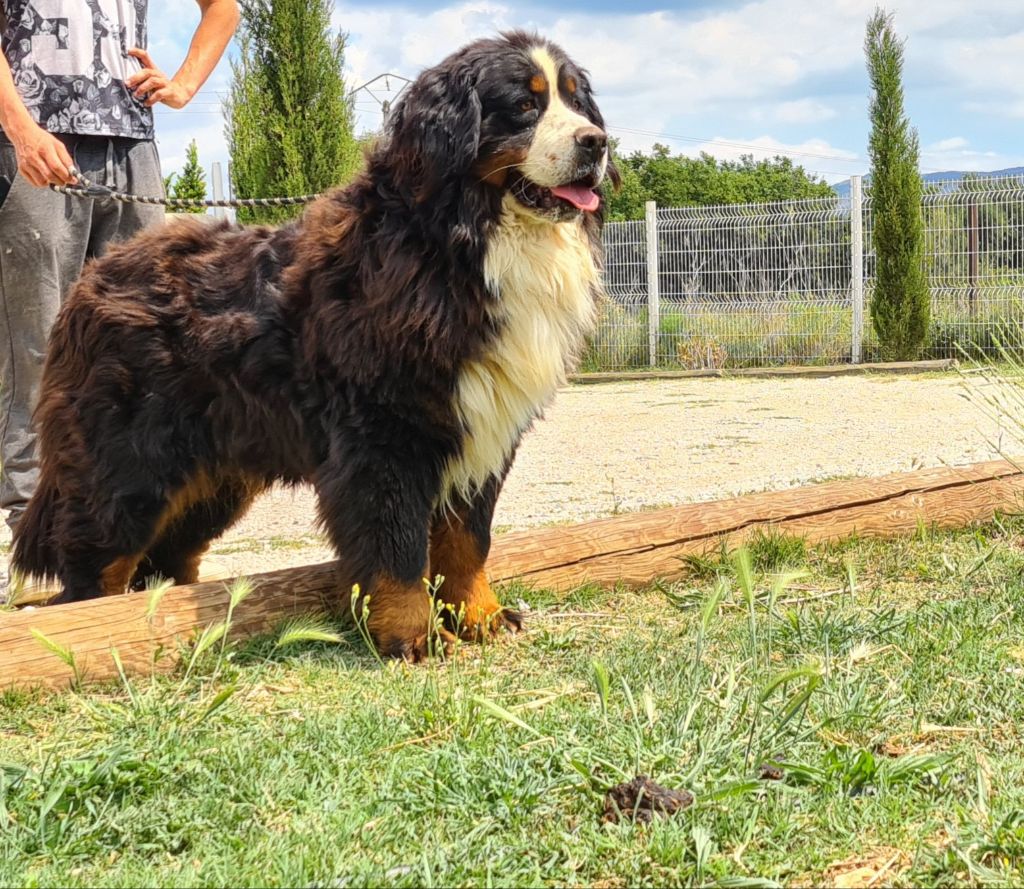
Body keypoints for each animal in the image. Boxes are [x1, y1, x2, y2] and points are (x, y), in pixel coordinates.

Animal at [12, 29, 618, 659]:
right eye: (524, 105)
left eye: (576, 102)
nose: (597, 142)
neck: (461, 244)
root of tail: (92, 279)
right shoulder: (385, 434)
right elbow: (397, 548)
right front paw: (413, 636)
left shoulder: (483, 431)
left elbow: (466, 542)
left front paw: (480, 616)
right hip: (129, 463)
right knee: (97, 557)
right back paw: (93, 628)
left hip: (213, 478)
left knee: (168, 554)